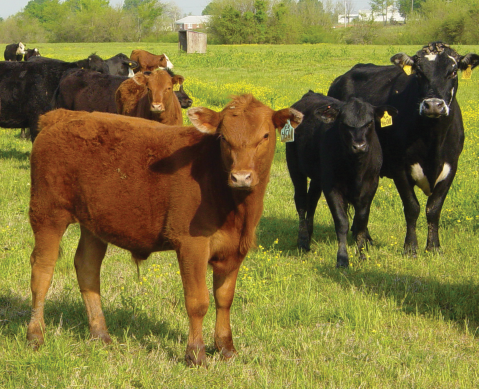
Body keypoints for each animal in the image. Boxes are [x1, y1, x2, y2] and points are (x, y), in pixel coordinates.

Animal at [27, 95, 304, 366]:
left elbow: (224, 298)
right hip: (47, 213)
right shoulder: (192, 245)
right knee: (42, 271)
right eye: (223, 137)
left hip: (93, 223)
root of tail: (60, 116)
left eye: (265, 135)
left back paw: (100, 334)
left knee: (87, 268)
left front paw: (226, 349)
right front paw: (195, 353)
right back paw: (36, 335)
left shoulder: (234, 248)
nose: (241, 177)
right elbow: (198, 301)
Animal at [288, 91, 398, 266]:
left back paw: (309, 235)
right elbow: (342, 222)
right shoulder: (332, 187)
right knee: (301, 202)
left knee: (312, 200)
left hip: (317, 177)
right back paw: (303, 240)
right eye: (344, 123)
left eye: (369, 122)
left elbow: (361, 221)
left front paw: (361, 255)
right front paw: (342, 258)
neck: (356, 169)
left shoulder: (371, 186)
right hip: (295, 167)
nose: (359, 146)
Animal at [328, 42, 479, 255]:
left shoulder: (451, 167)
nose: (433, 105)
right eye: (419, 73)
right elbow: (412, 207)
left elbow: (434, 208)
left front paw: (434, 247)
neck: (433, 141)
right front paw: (410, 248)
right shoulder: (400, 168)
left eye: (452, 72)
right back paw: (365, 239)